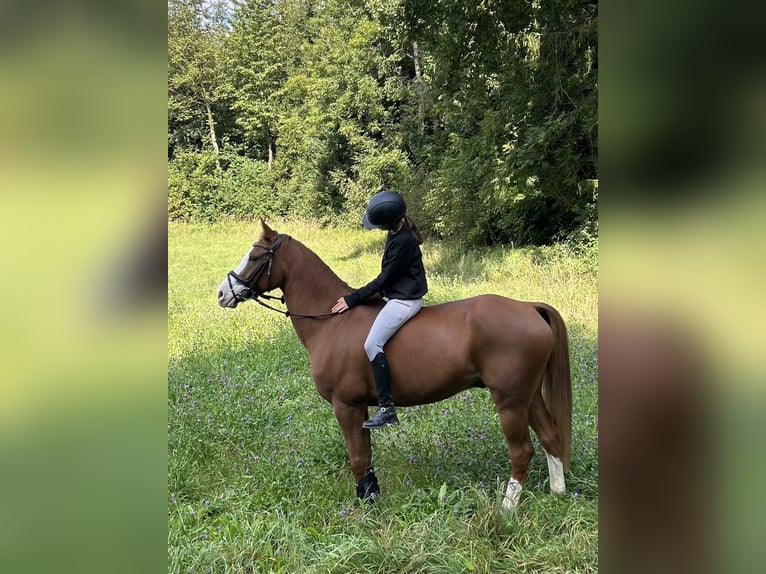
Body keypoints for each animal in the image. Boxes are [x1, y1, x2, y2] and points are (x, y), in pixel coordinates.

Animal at [219, 223, 572, 510]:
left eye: (255, 257)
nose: (223, 293)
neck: (332, 320)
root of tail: (530, 307)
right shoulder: (360, 407)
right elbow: (366, 456)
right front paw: (372, 497)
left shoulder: (345, 405)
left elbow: (357, 457)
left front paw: (366, 508)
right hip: (528, 396)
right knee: (550, 438)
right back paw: (557, 494)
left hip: (509, 401)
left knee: (522, 450)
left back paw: (507, 509)